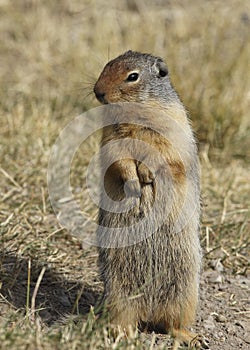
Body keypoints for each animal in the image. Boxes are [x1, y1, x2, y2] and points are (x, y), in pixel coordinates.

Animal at [93, 50, 202, 348]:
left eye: (133, 76)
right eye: (106, 65)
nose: (97, 92)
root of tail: (149, 310)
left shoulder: (172, 126)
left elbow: (162, 151)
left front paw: (146, 175)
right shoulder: (112, 135)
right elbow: (118, 156)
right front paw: (133, 184)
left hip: (185, 290)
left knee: (171, 323)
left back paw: (191, 336)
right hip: (118, 292)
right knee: (125, 318)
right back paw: (124, 334)